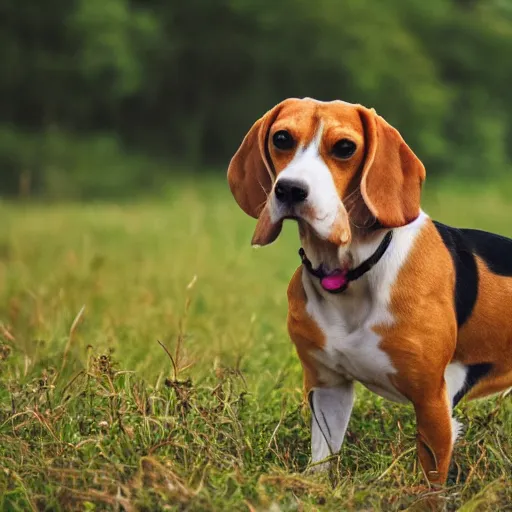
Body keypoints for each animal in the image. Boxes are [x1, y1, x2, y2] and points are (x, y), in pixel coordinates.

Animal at [227, 96, 512, 484]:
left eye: (345, 147)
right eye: (281, 138)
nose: (290, 189)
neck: (349, 273)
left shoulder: (432, 402)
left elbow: (430, 485)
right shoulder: (328, 387)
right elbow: (321, 460)